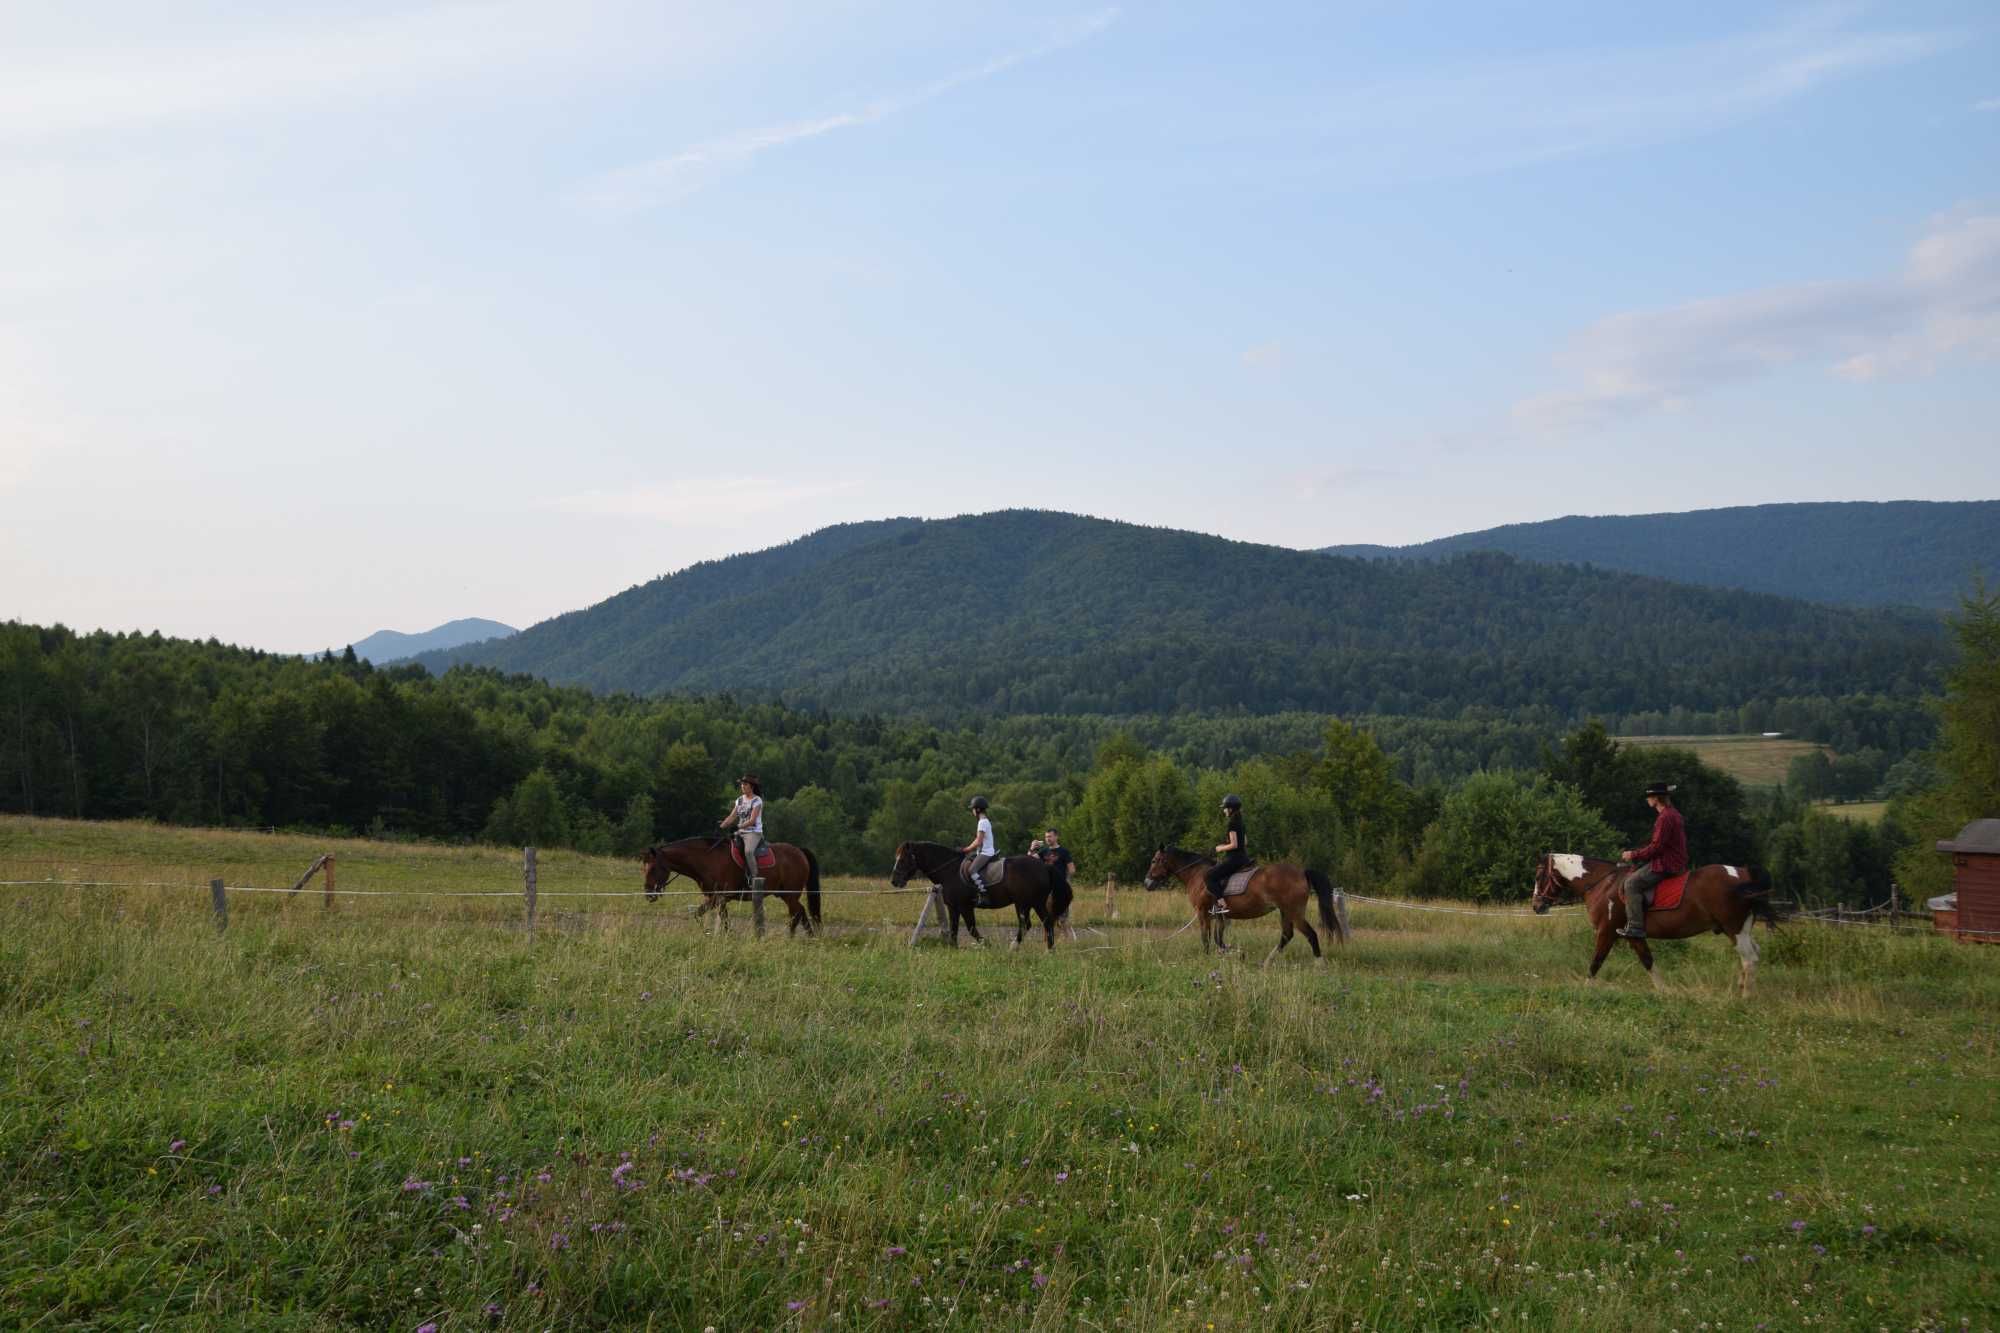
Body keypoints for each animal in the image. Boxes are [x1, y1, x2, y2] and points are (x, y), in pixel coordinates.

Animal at [644, 832, 824, 932]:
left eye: (652, 868)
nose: (648, 894)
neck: (707, 859)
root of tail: (799, 850)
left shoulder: (719, 897)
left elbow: (715, 917)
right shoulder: (714, 898)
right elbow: (708, 916)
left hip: (790, 895)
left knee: (797, 913)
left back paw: (792, 937)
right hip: (785, 895)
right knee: (800, 912)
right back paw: (807, 937)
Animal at [896, 840, 1080, 944]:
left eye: (903, 859)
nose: (894, 881)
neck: (950, 870)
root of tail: (1044, 866)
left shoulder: (965, 906)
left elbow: (970, 928)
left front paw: (985, 944)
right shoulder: (953, 907)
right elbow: (954, 929)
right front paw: (952, 948)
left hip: (1026, 903)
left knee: (1033, 924)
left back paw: (1017, 947)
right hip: (1031, 903)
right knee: (1042, 923)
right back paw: (1044, 949)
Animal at [1144, 844, 1344, 960]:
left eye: (1154, 860)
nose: (1147, 883)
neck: (1198, 875)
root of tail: (1302, 872)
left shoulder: (1202, 912)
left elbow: (1206, 937)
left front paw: (1208, 957)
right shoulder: (1220, 916)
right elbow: (1218, 938)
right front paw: (1232, 952)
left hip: (1294, 912)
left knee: (1310, 935)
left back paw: (1319, 964)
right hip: (1285, 911)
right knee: (1287, 935)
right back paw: (1267, 962)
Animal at [1528, 844, 1784, 992]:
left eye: (1539, 876)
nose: (1536, 905)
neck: (1604, 883)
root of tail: (1744, 873)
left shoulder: (1607, 931)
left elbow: (1596, 961)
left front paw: (1585, 989)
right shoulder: (1633, 935)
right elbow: (1648, 960)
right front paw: (1664, 992)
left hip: (1735, 928)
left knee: (1749, 958)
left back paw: (1745, 997)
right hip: (1742, 929)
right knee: (1753, 954)